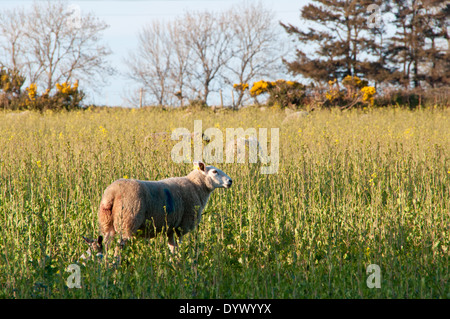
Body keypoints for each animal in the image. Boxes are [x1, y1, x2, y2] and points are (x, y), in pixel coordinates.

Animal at [82, 161, 232, 256]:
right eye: (215, 171)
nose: (230, 181)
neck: (196, 186)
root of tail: (111, 194)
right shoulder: (181, 227)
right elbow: (178, 249)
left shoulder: (171, 228)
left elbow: (172, 249)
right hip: (127, 222)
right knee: (118, 250)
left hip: (107, 223)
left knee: (105, 245)